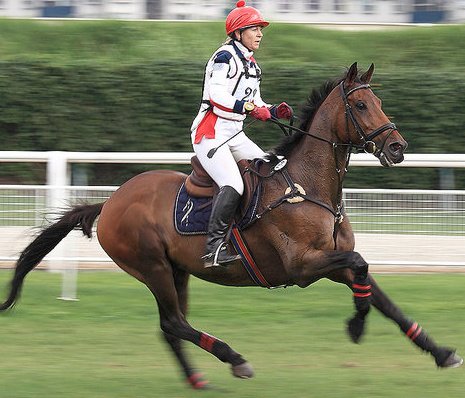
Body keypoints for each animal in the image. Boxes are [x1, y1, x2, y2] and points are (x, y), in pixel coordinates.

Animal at [0, 63, 460, 388]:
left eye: (378, 101)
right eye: (361, 105)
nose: (397, 147)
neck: (308, 186)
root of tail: (111, 201)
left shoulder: (334, 260)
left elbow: (381, 295)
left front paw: (439, 352)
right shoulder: (303, 266)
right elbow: (362, 266)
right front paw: (357, 325)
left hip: (177, 271)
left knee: (171, 326)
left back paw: (197, 379)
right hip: (153, 268)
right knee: (174, 323)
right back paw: (234, 359)